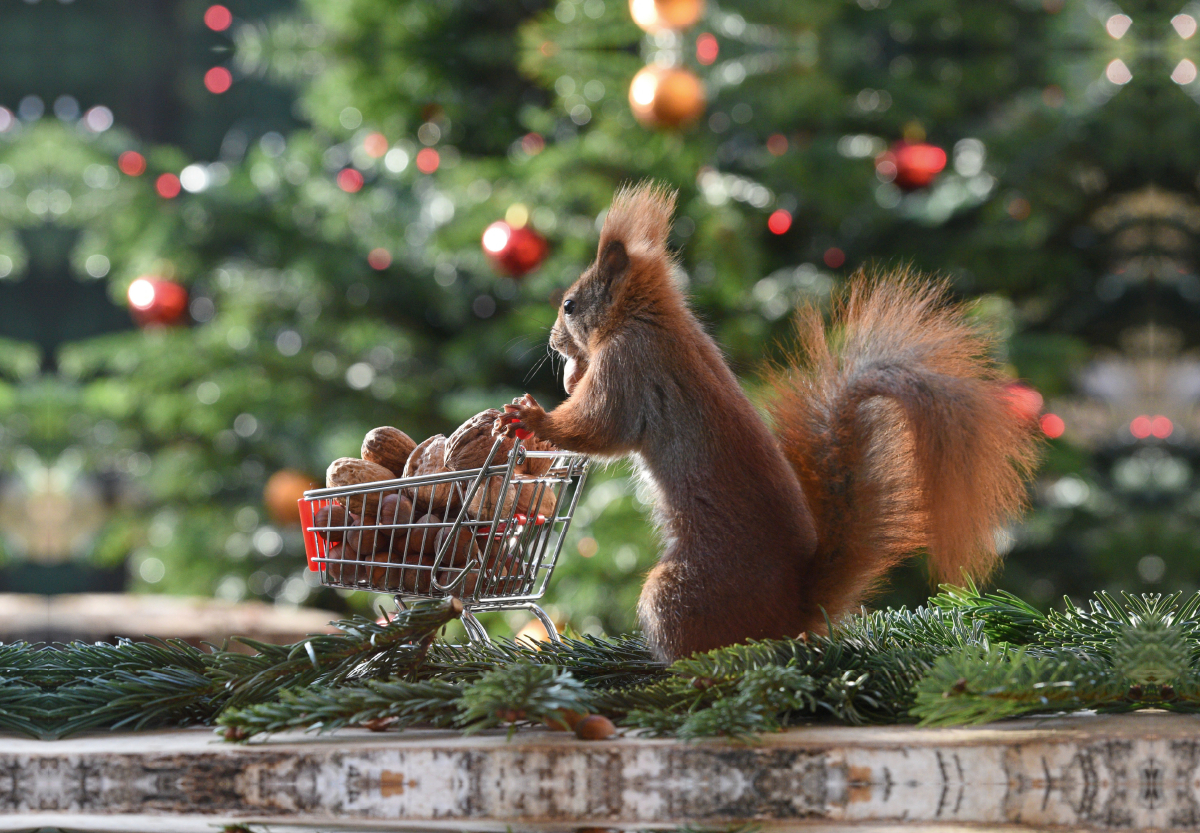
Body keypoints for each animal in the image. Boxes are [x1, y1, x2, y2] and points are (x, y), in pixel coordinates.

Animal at [494, 182, 1041, 667]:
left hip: (676, 593)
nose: (554, 342)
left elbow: (599, 427)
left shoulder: (630, 367)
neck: (649, 317)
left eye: (569, 306)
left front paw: (532, 415)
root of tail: (793, 612)